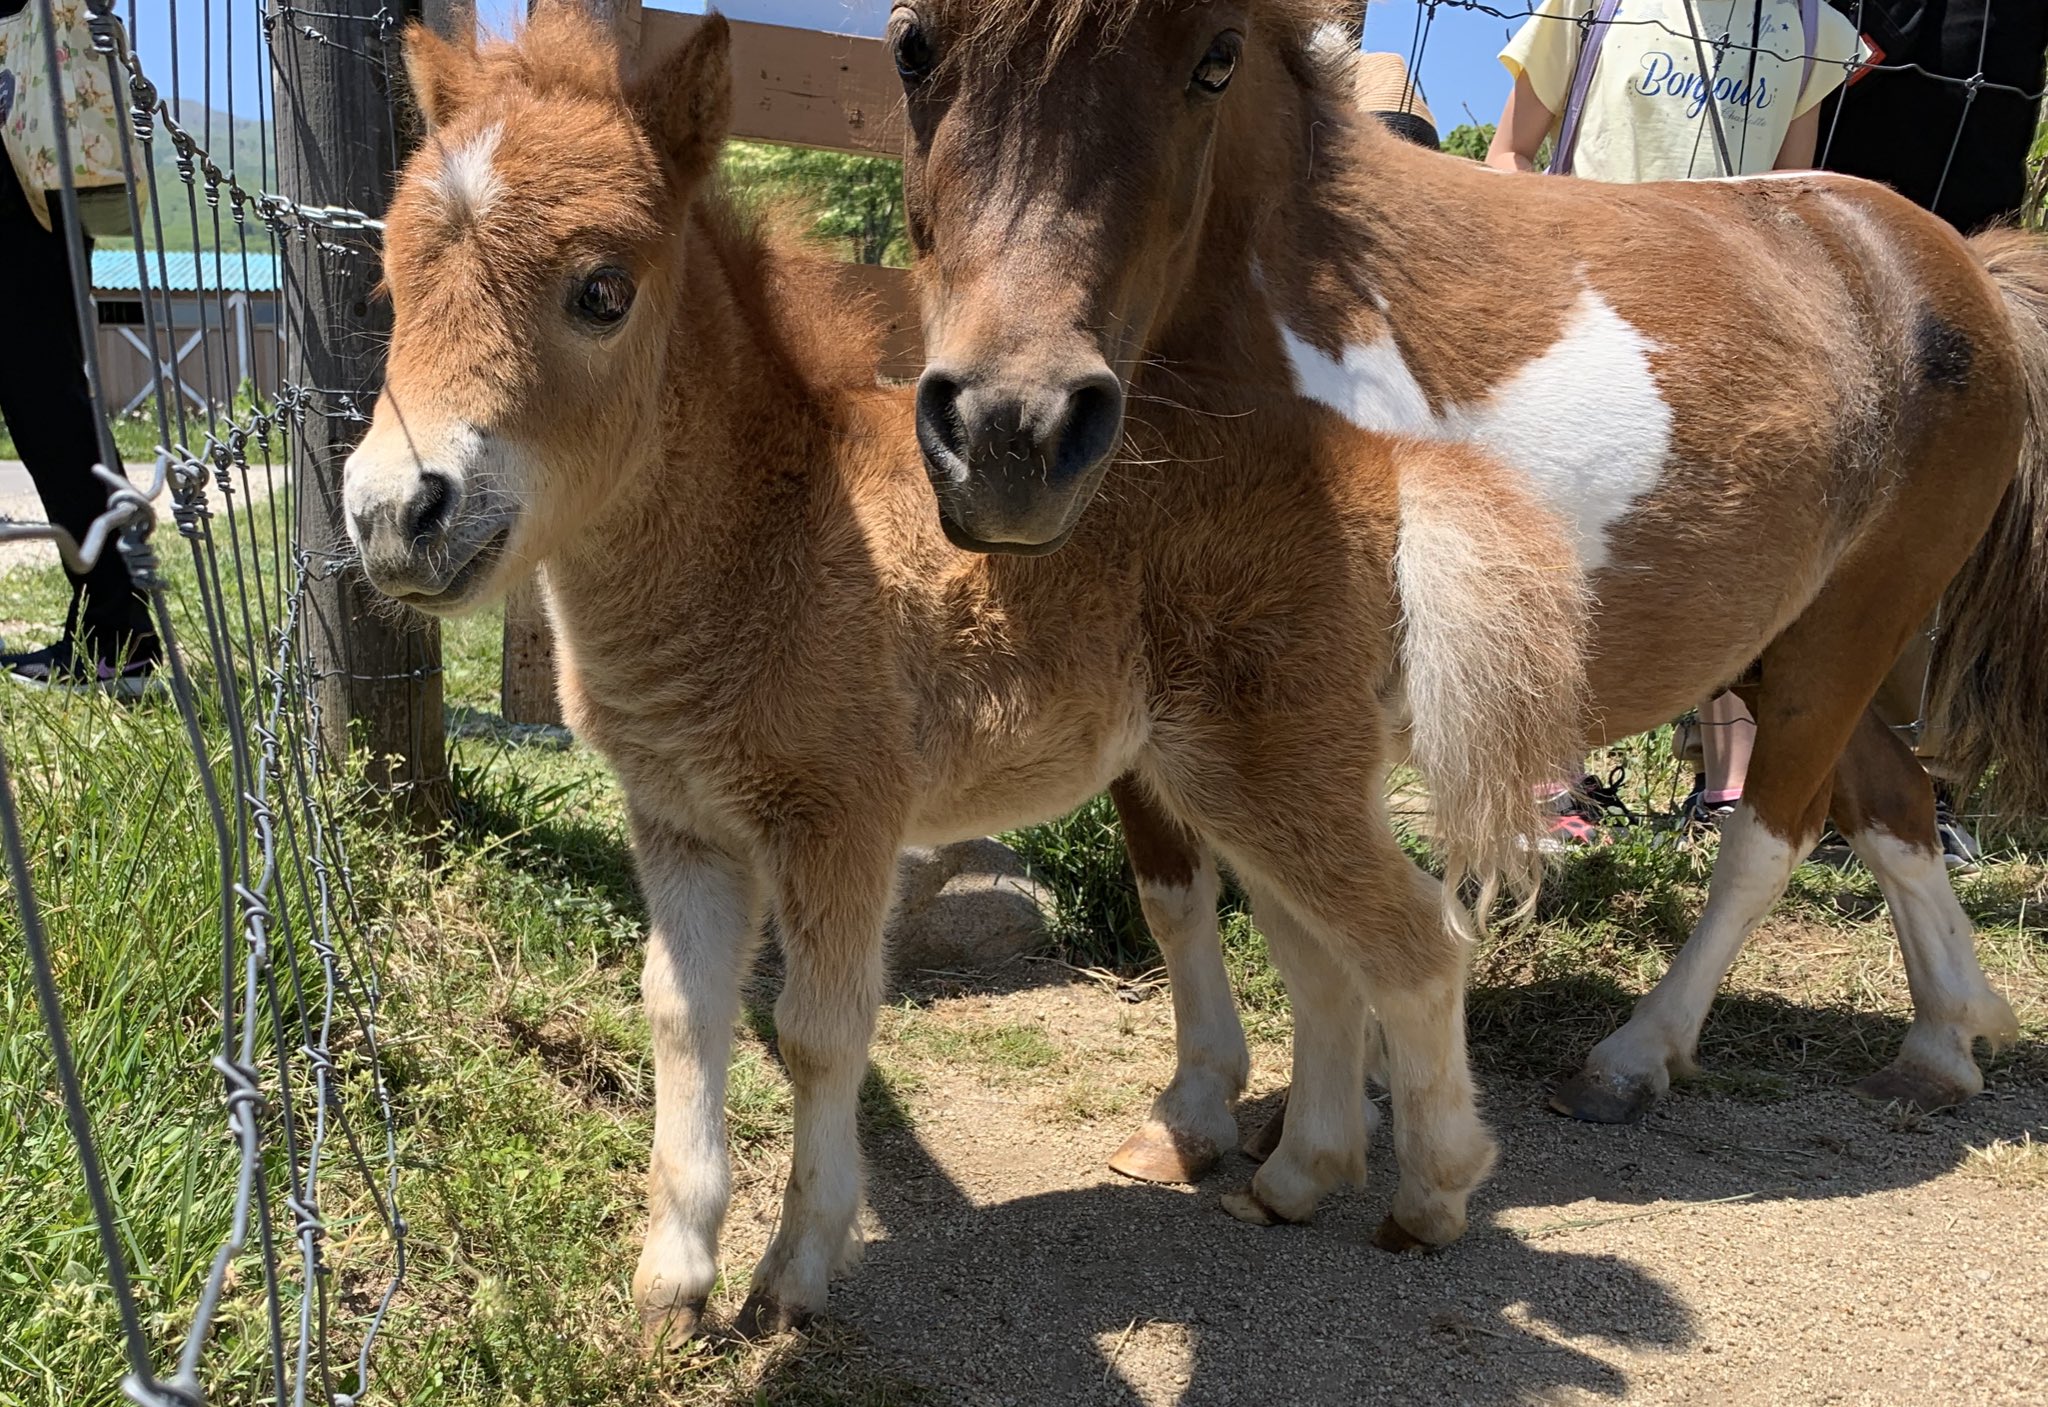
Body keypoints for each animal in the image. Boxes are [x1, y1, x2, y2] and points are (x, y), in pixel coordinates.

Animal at [339, 8, 1581, 1335]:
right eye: (389, 288)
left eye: (601, 292)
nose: (395, 515)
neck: (770, 535)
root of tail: (1374, 464)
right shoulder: (679, 821)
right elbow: (680, 1015)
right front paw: (671, 1278)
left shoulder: (838, 817)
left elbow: (818, 1032)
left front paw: (794, 1270)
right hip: (1238, 778)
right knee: (1321, 959)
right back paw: (1299, 1175)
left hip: (1279, 768)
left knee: (1415, 942)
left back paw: (1430, 1195)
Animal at [897, 5, 2048, 1163]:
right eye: (910, 45)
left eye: (1215, 62)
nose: (1012, 433)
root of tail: (1947, 262)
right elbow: (1175, 890)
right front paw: (1195, 1110)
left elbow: (1308, 905)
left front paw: (1339, 1113)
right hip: (1779, 641)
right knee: (1893, 803)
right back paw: (1942, 1045)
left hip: (1852, 626)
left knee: (1767, 841)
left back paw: (1631, 1060)